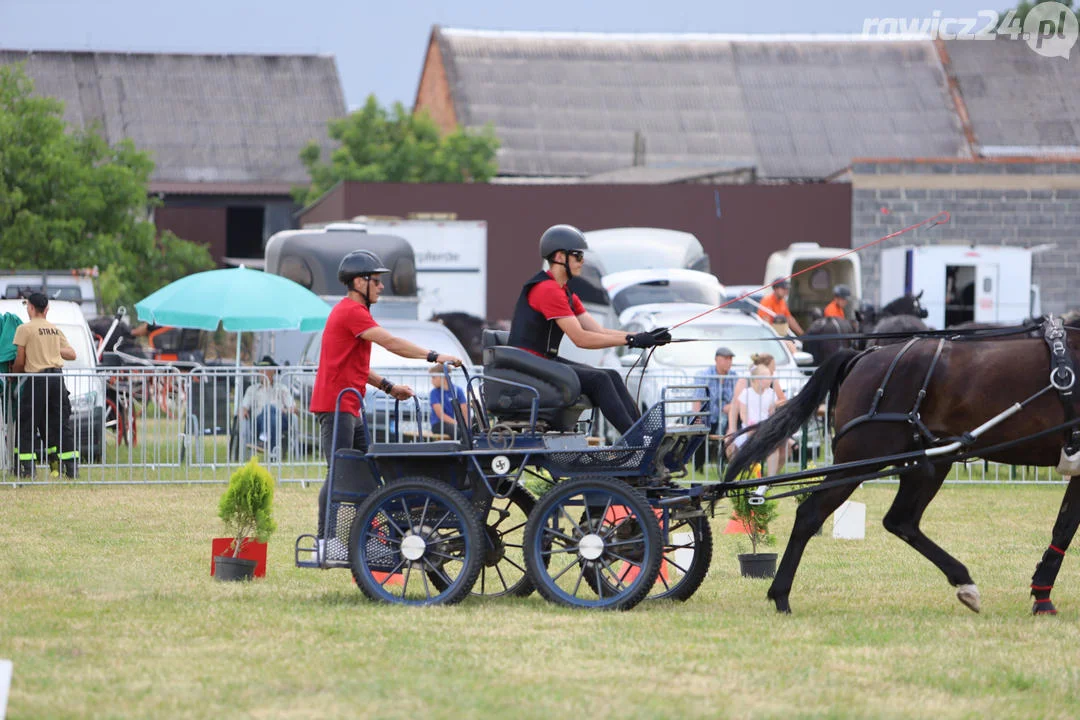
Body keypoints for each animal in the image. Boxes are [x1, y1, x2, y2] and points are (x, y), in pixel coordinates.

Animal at [725, 323, 1080, 617]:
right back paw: (781, 595)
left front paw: (1042, 595)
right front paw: (1043, 599)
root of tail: (865, 355)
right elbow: (1065, 529)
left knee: (901, 520)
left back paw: (963, 581)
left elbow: (1063, 527)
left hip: (928, 462)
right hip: (866, 456)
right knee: (811, 514)